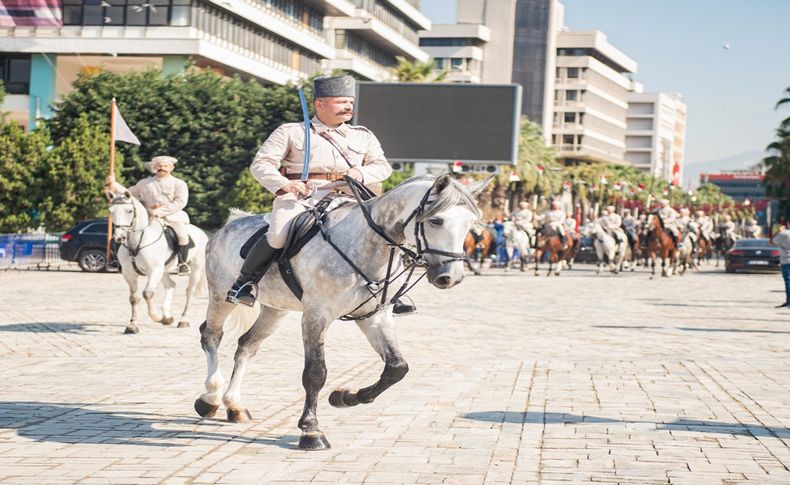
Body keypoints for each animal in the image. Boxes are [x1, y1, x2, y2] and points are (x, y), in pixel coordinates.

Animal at [106, 191, 209, 334]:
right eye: (111, 211)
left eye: (129, 211)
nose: (119, 237)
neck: (137, 242)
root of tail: (202, 233)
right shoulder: (129, 274)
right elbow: (134, 299)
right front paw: (132, 325)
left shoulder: (154, 270)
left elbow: (147, 294)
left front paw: (157, 317)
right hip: (164, 270)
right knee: (171, 285)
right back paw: (167, 316)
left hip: (195, 270)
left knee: (189, 291)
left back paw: (183, 320)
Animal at [195, 174, 492, 450]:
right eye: (436, 221)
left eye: (469, 224)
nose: (450, 277)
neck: (366, 245)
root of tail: (231, 222)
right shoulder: (316, 315)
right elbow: (315, 373)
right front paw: (311, 430)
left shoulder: (374, 317)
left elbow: (397, 368)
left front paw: (346, 397)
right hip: (221, 296)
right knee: (211, 336)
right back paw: (209, 398)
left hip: (275, 310)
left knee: (246, 346)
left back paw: (235, 406)